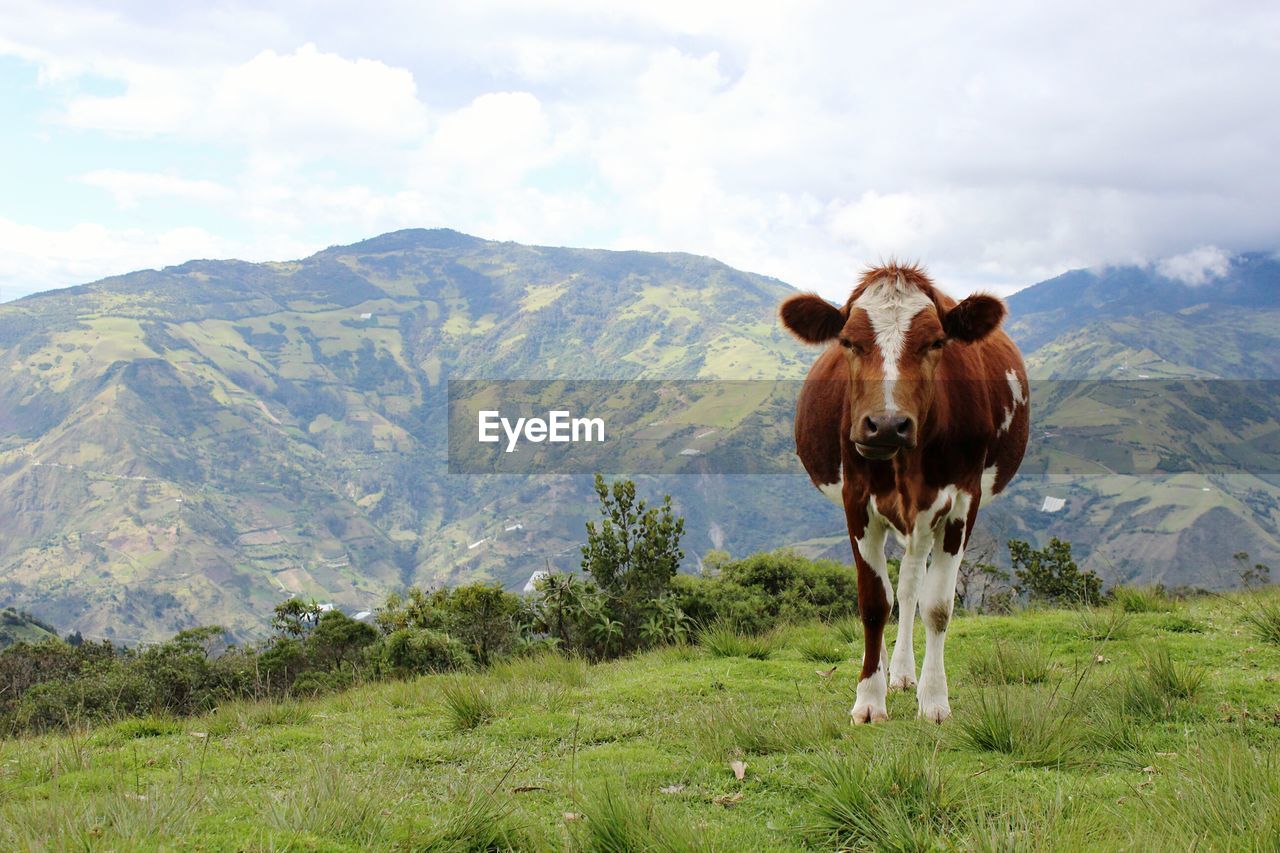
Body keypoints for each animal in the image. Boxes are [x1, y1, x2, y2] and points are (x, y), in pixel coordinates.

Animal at [778, 262, 1029, 722]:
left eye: (936, 342)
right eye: (848, 342)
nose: (887, 425)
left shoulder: (962, 500)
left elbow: (937, 605)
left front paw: (933, 700)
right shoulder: (856, 500)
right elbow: (874, 601)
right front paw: (868, 699)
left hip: (928, 518)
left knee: (913, 586)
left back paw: (904, 673)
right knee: (895, 590)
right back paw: (885, 668)